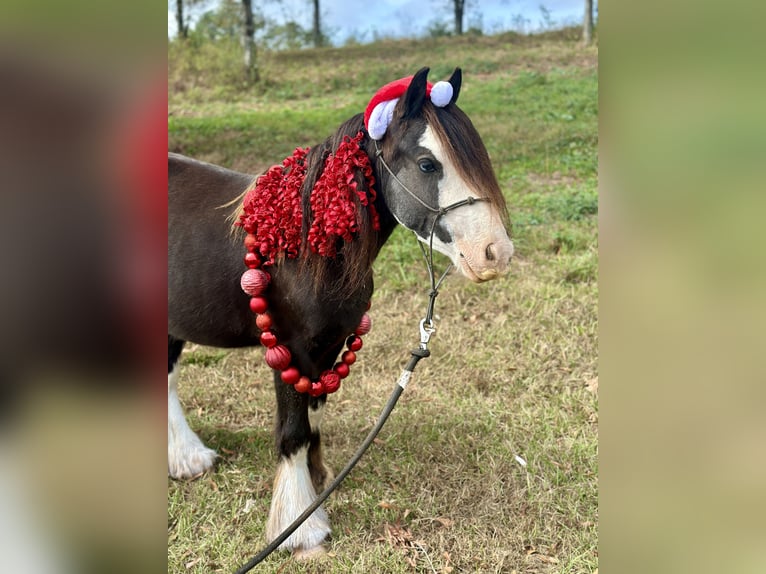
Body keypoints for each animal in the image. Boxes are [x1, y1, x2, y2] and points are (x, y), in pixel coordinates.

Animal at [169, 66, 516, 560]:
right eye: (428, 165)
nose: (495, 253)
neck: (306, 244)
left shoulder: (328, 347)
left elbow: (314, 416)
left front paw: (315, 488)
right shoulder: (290, 350)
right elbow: (293, 431)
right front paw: (300, 528)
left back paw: (185, 457)